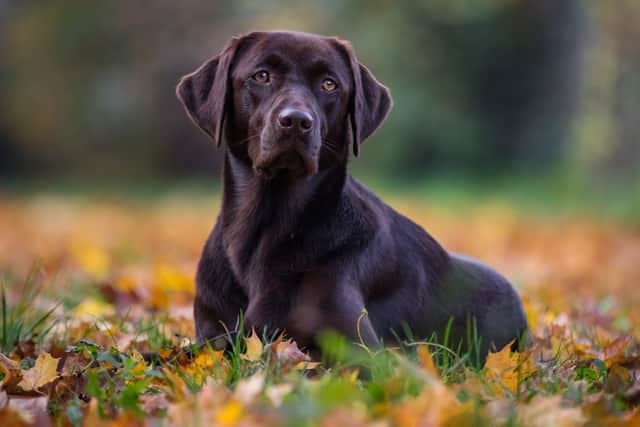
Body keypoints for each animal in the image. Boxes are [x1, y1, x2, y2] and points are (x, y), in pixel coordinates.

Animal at [178, 30, 528, 364]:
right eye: (261, 75)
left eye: (329, 84)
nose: (297, 121)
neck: (267, 226)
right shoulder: (212, 336)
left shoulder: (360, 349)